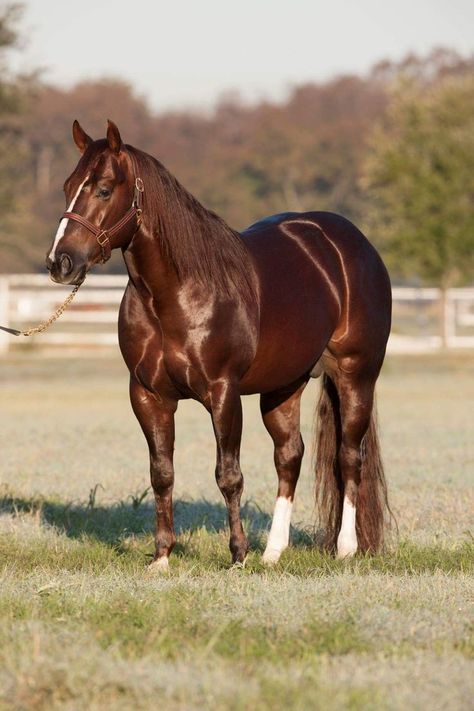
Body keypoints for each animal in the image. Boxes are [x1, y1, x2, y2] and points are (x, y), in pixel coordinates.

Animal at [45, 119, 392, 572]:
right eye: (68, 186)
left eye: (103, 188)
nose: (60, 263)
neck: (175, 294)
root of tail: (350, 244)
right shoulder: (148, 395)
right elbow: (162, 474)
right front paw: (162, 557)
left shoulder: (223, 392)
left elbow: (228, 475)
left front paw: (237, 556)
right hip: (284, 385)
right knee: (290, 456)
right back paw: (273, 551)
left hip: (356, 375)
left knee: (349, 456)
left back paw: (345, 548)